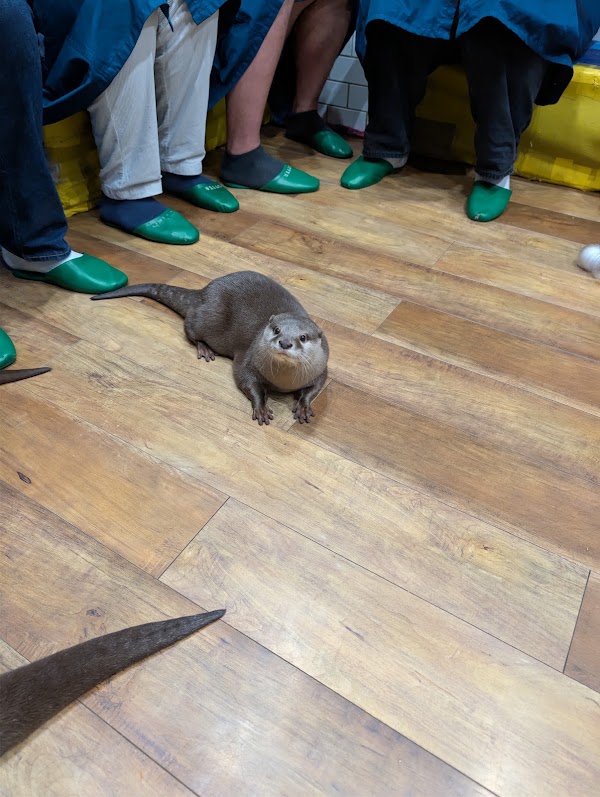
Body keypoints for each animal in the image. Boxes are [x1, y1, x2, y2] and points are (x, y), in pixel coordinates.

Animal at [92, 271, 329, 425]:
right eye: (277, 330)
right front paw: (261, 408)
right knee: (189, 328)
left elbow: (316, 387)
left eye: (303, 337)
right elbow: (247, 381)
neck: (283, 381)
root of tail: (203, 293)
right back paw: (204, 349)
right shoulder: (247, 359)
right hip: (206, 318)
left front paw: (304, 407)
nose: (285, 342)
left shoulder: (321, 368)